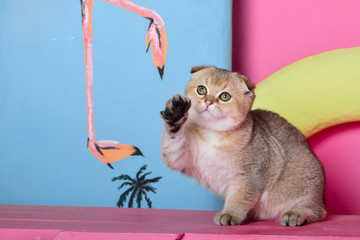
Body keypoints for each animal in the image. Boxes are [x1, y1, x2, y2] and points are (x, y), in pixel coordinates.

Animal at [160, 66, 326, 227]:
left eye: (224, 96)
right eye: (201, 90)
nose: (208, 101)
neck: (212, 134)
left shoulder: (250, 177)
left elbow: (239, 198)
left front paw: (230, 214)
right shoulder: (181, 158)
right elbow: (172, 142)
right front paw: (176, 115)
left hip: (307, 185)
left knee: (316, 212)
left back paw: (296, 214)